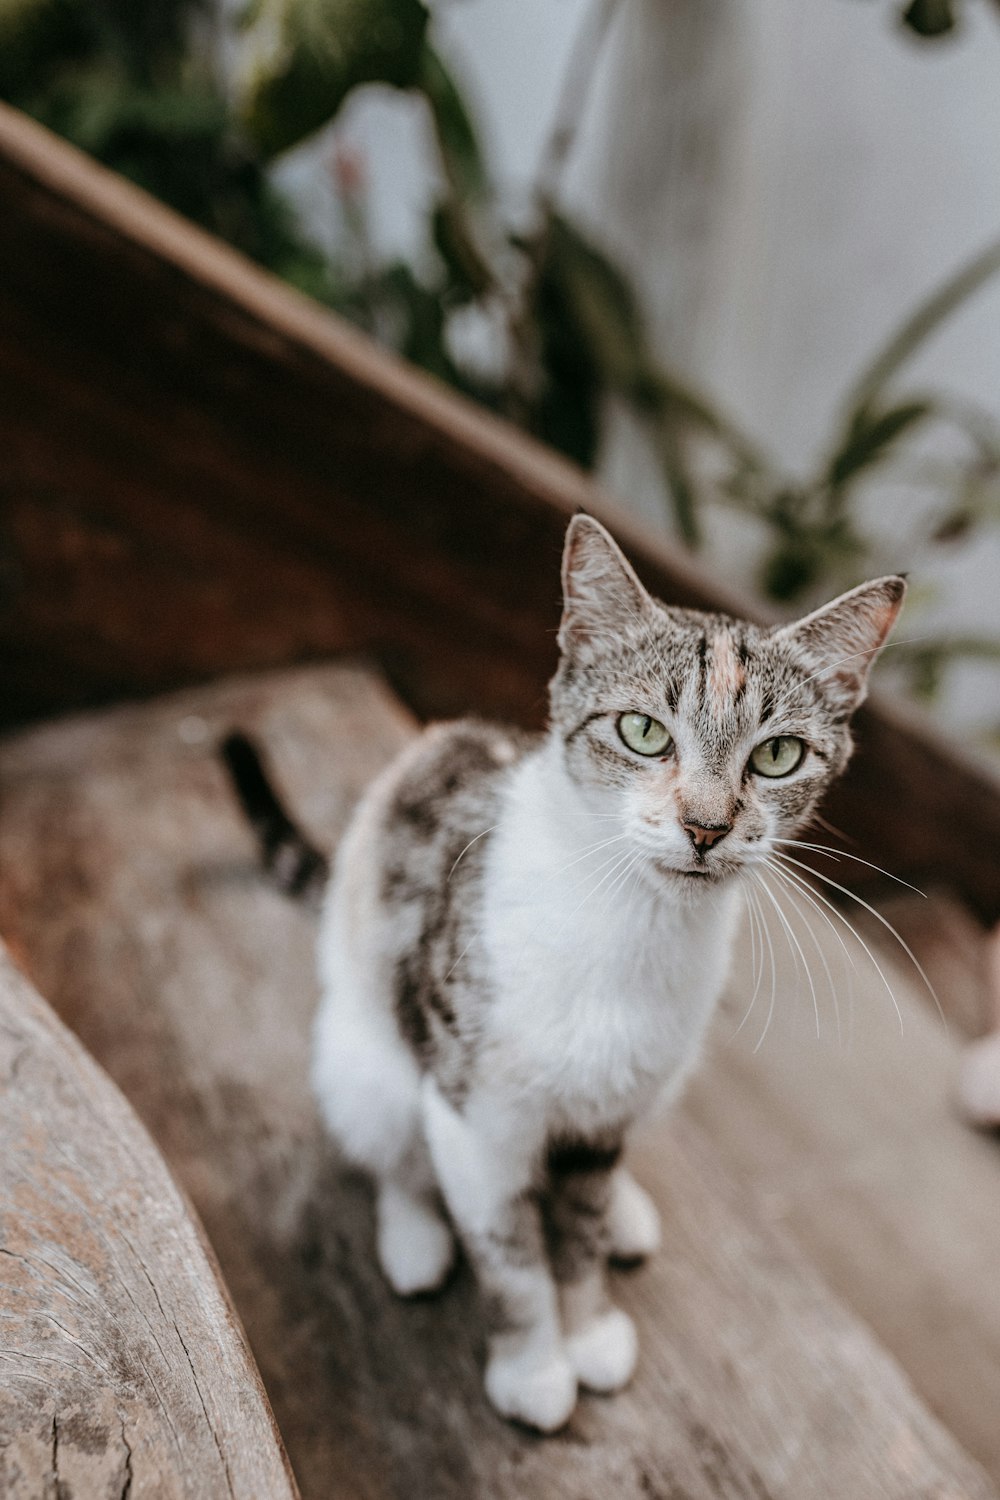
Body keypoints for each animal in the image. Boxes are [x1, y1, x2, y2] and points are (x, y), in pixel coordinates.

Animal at [307, 516, 905, 1428]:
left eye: (778, 755)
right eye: (644, 732)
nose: (706, 827)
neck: (636, 926)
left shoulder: (605, 1116)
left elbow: (578, 1227)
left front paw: (588, 1328)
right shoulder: (475, 1114)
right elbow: (510, 1256)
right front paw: (533, 1367)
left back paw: (626, 1214)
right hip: (364, 1054)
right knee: (389, 1146)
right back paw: (413, 1236)